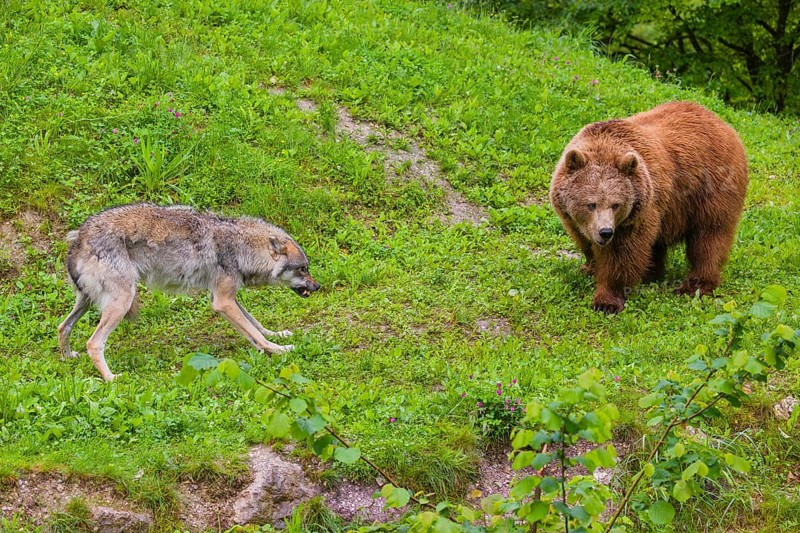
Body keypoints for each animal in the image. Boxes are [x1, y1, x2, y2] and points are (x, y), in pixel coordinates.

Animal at [57, 204, 321, 381]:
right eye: (303, 269)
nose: (317, 287)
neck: (240, 247)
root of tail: (79, 236)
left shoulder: (224, 297)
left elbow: (255, 324)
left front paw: (278, 335)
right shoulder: (223, 302)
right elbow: (254, 333)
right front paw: (277, 350)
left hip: (87, 301)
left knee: (63, 326)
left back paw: (67, 357)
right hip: (122, 302)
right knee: (93, 343)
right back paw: (112, 379)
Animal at [549, 101, 748, 313]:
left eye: (615, 205)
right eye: (591, 204)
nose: (605, 232)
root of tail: (722, 123)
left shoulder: (635, 215)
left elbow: (621, 256)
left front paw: (606, 301)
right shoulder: (574, 219)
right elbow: (585, 242)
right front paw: (589, 268)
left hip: (710, 189)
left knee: (709, 237)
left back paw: (694, 286)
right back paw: (652, 273)